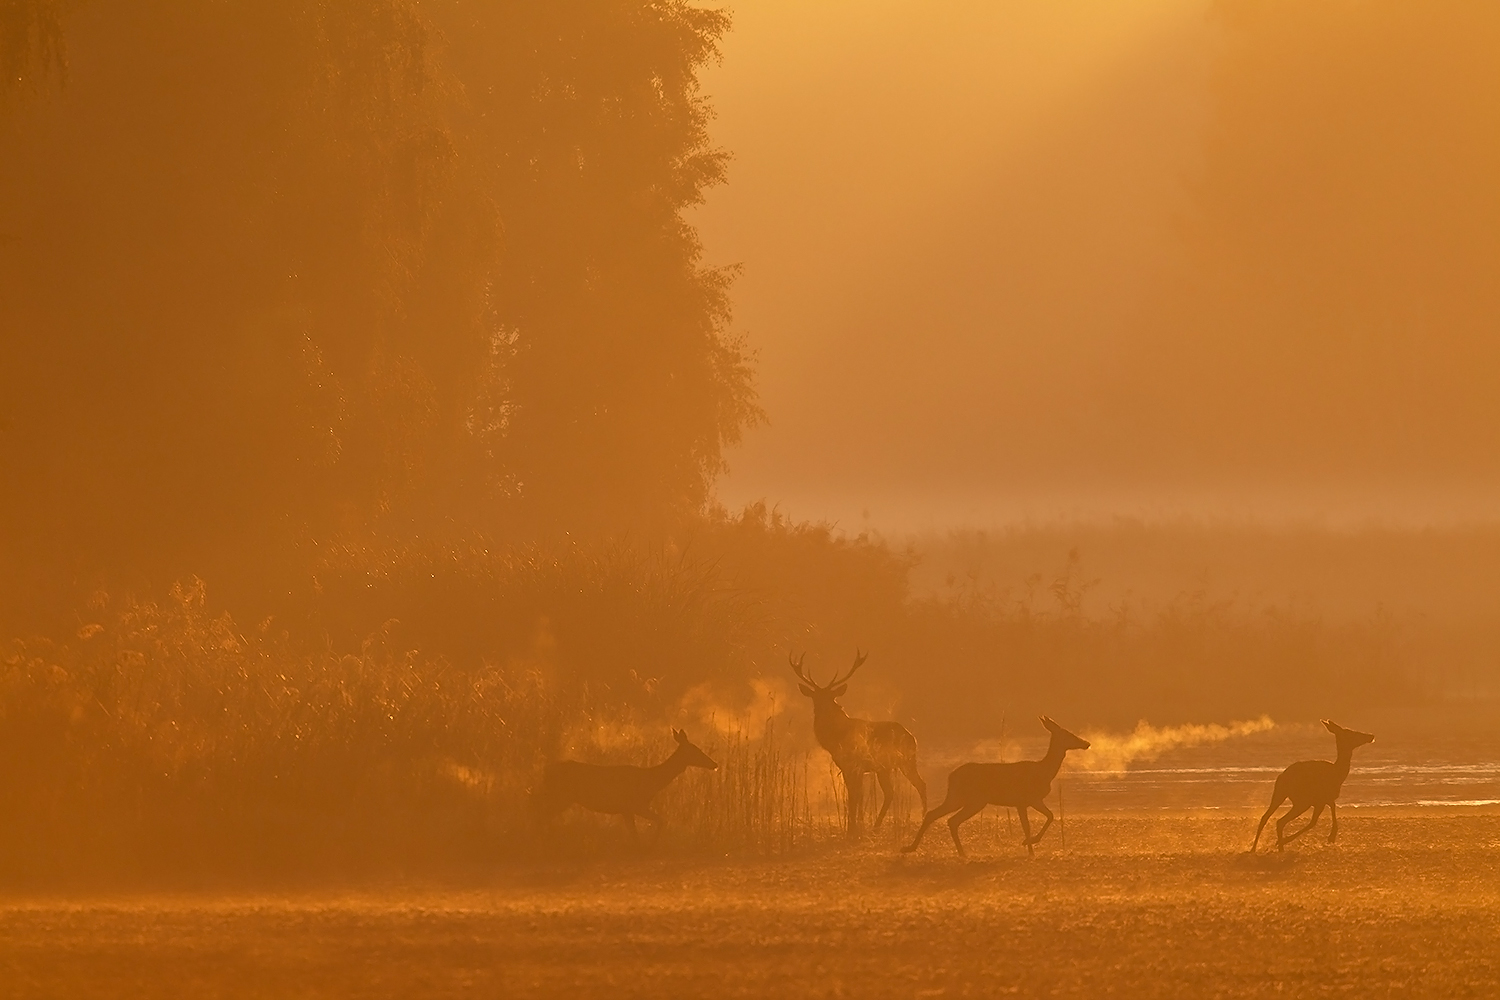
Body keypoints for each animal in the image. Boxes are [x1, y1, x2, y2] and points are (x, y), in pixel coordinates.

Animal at [531, 728, 717, 845]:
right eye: (696, 750)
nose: (714, 764)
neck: (652, 781)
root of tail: (545, 771)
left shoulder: (627, 810)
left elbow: (640, 831)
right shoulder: (634, 805)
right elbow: (658, 822)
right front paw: (650, 845)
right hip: (561, 795)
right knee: (540, 814)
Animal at [786, 650, 924, 839]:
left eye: (831, 698)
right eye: (815, 698)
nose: (820, 710)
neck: (836, 738)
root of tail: (912, 737)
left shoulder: (855, 765)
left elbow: (855, 796)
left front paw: (852, 829)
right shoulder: (846, 767)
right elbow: (853, 796)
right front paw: (854, 827)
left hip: (906, 761)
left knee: (919, 785)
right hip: (886, 767)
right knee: (892, 792)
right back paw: (876, 826)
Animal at [900, 710, 1092, 863]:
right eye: (1068, 734)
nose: (1087, 743)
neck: (1044, 771)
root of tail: (950, 776)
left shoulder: (1031, 801)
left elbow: (1046, 817)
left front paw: (1030, 847)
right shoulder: (1024, 800)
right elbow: (1035, 823)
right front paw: (1029, 845)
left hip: (961, 798)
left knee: (940, 817)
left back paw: (920, 849)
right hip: (971, 799)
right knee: (947, 819)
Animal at [1248, 719, 1374, 851]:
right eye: (1352, 733)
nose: (1371, 736)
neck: (1338, 775)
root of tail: (1282, 777)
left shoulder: (1324, 799)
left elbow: (1326, 812)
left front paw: (1332, 835)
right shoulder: (1321, 800)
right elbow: (1316, 820)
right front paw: (1332, 836)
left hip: (1280, 794)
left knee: (1266, 817)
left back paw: (1255, 848)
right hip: (1302, 801)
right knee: (1280, 821)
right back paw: (1279, 846)